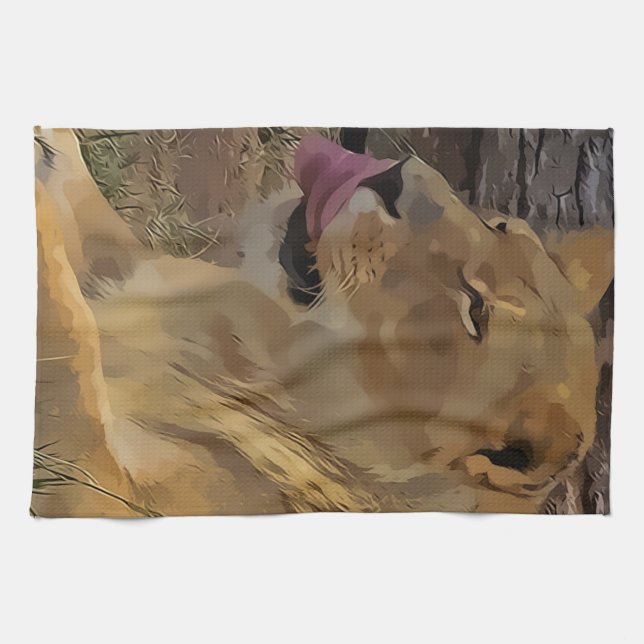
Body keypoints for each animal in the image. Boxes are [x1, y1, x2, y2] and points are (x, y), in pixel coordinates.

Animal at [32, 128, 613, 516]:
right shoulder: (127, 270)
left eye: (475, 307)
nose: (389, 178)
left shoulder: (97, 493)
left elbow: (67, 336)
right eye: (498, 225)